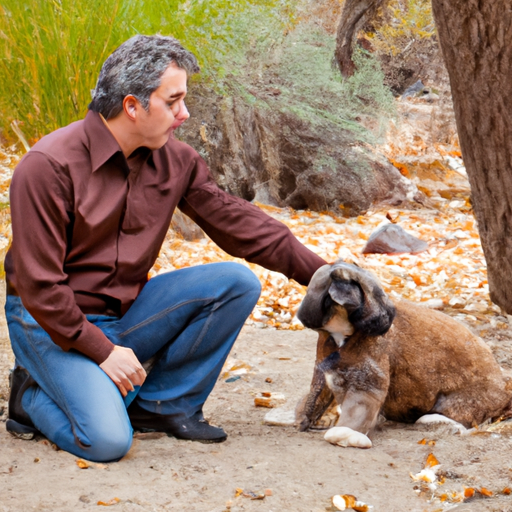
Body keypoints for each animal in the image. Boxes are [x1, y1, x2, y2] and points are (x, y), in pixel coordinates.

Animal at [296, 262, 512, 446]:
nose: (389, 313)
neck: (341, 330)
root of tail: (504, 390)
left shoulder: (366, 383)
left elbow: (357, 411)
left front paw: (345, 435)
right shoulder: (323, 373)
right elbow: (315, 397)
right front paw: (303, 418)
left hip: (459, 402)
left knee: (464, 418)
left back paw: (431, 419)